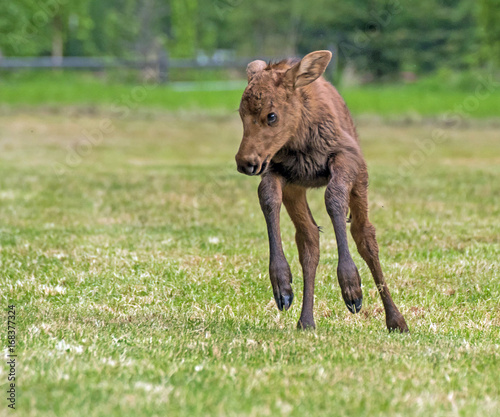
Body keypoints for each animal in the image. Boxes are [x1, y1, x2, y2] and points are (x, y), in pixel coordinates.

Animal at [236, 49, 408, 332]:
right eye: (240, 113)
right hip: (296, 187)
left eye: (272, 115)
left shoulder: (346, 157)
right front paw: (282, 285)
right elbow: (267, 197)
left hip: (360, 179)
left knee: (365, 234)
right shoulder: (278, 168)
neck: (301, 139)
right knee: (309, 238)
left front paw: (352, 288)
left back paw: (396, 320)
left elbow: (333, 199)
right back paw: (306, 320)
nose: (245, 161)